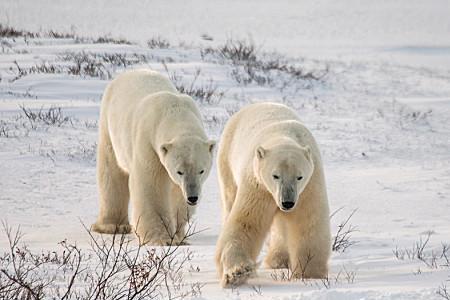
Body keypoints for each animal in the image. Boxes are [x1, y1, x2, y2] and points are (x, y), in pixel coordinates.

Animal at [91, 69, 214, 246]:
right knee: (111, 170)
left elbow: (177, 195)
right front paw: (161, 238)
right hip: (109, 124)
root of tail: (129, 72)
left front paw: (178, 236)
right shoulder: (148, 143)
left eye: (201, 170)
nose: (192, 198)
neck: (174, 110)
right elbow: (150, 185)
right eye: (179, 171)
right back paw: (113, 226)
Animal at [214, 103, 330, 288]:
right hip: (227, 160)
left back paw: (278, 259)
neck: (282, 135)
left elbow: (308, 222)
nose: (287, 202)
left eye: (299, 176)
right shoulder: (258, 185)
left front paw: (309, 274)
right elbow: (246, 222)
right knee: (229, 202)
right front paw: (238, 273)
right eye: (275, 175)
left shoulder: (310, 185)